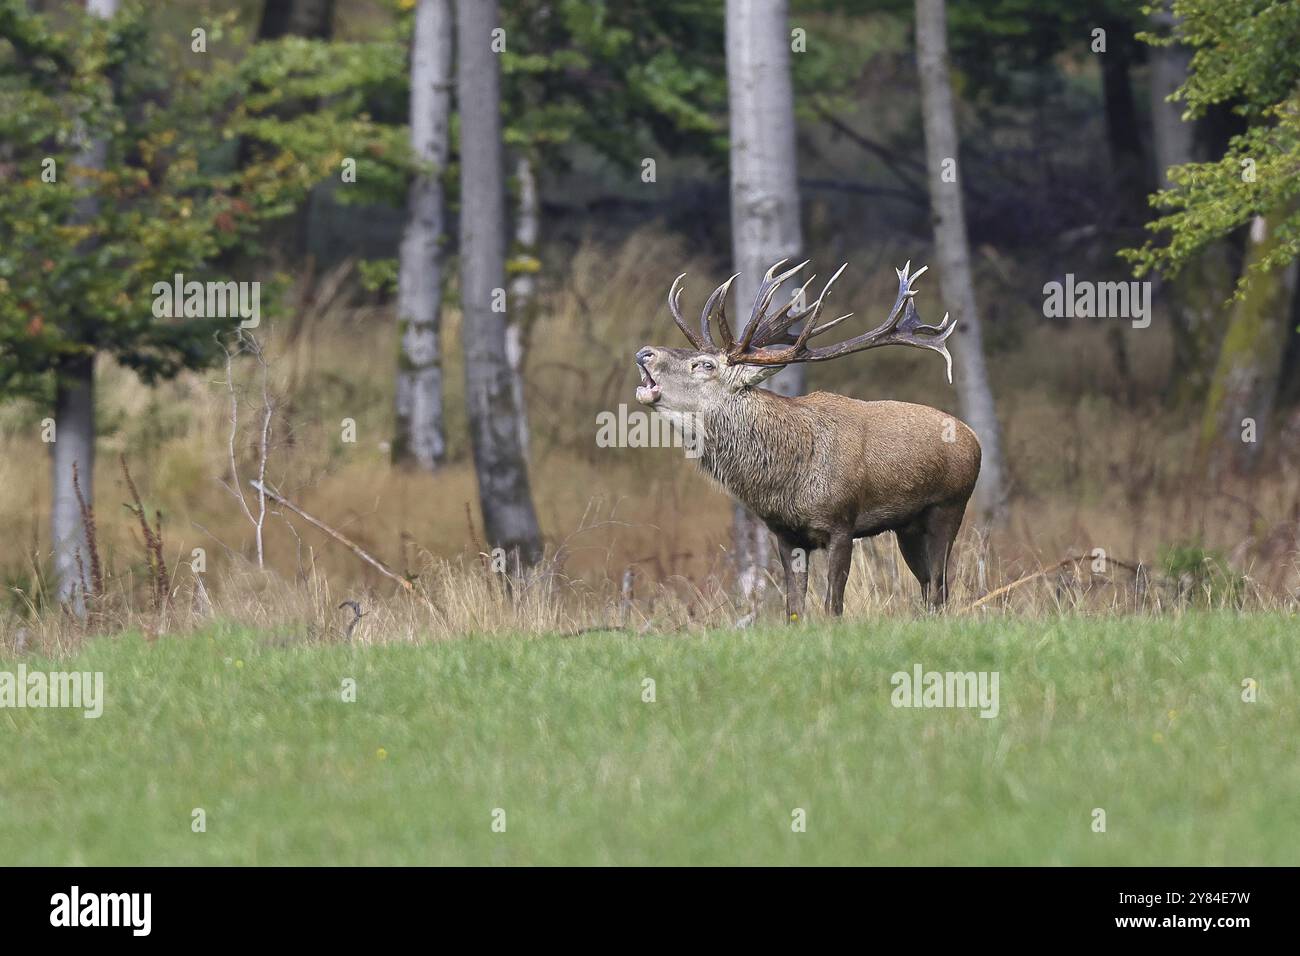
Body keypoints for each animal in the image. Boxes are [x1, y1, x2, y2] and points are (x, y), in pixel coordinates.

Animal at [634, 260, 981, 620]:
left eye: (704, 364)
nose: (645, 352)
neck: (789, 482)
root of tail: (973, 437)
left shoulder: (842, 522)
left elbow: (833, 606)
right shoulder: (786, 533)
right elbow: (794, 608)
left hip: (949, 505)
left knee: (939, 585)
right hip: (907, 527)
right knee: (928, 585)